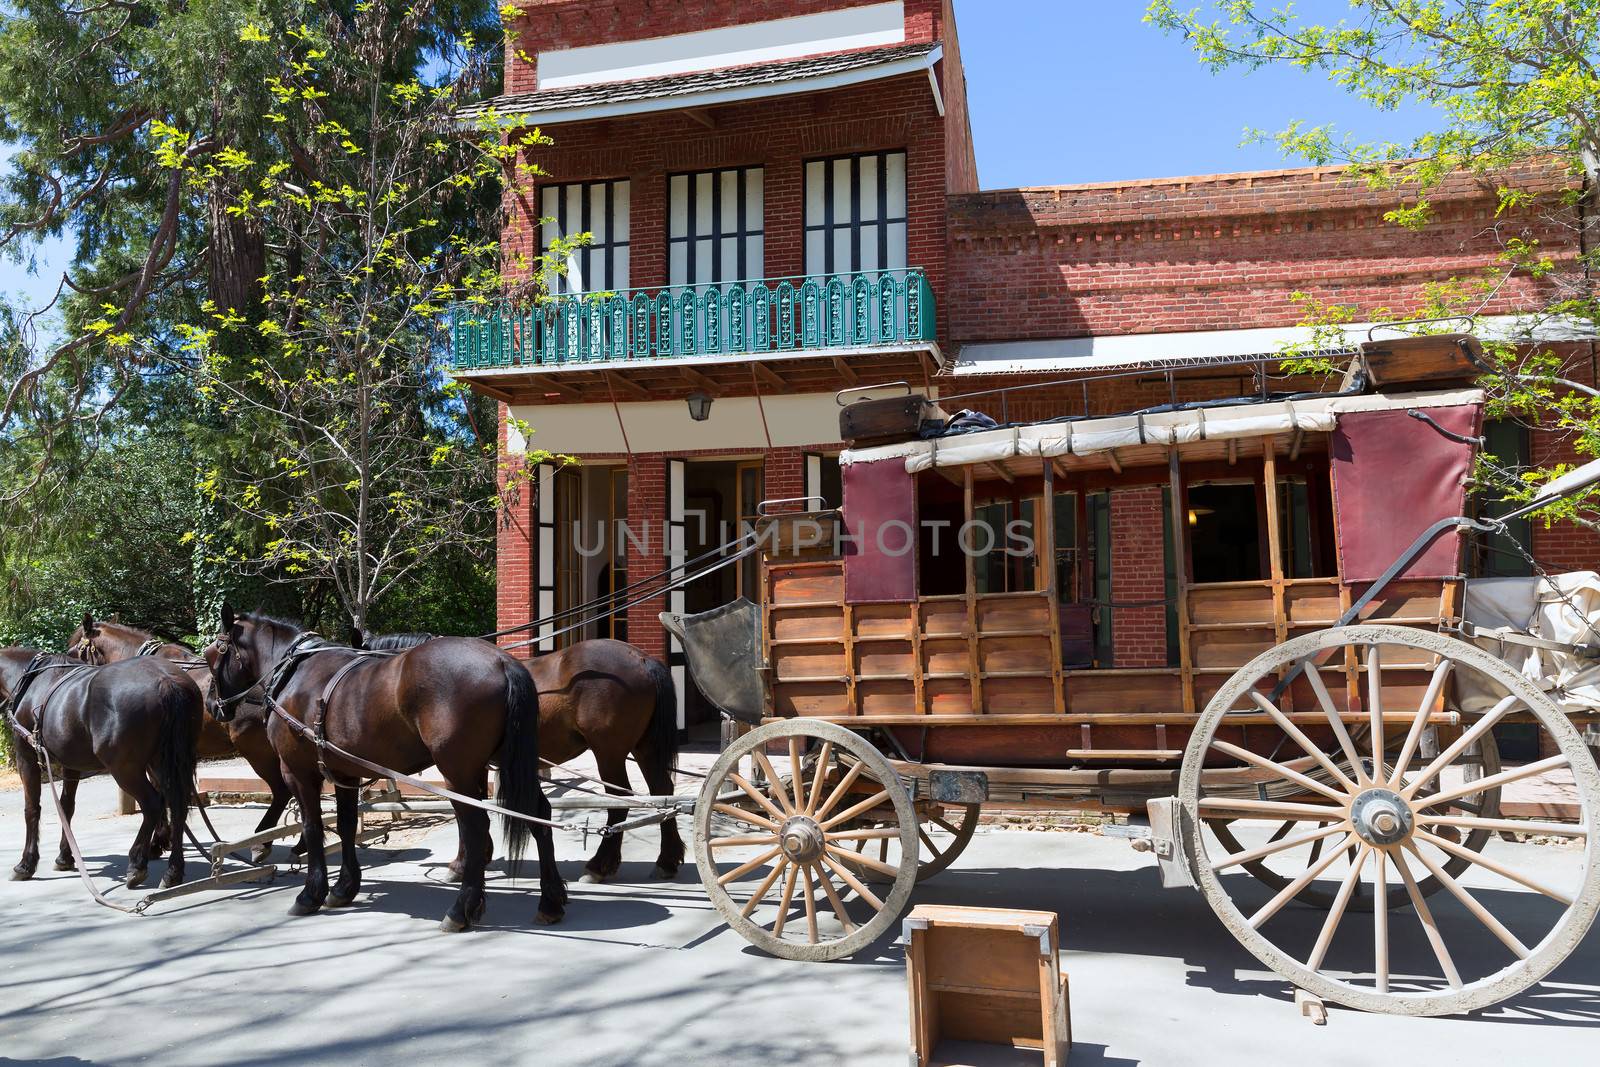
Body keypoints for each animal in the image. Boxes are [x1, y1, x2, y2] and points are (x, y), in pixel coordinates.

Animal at [1, 652, 201, 895]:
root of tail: (166, 681)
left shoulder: (26, 758)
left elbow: (32, 809)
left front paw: (25, 864)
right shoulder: (71, 764)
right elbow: (66, 808)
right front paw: (65, 857)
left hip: (125, 769)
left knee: (153, 804)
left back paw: (137, 864)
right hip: (166, 762)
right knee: (177, 806)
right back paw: (173, 871)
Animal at [66, 614, 302, 863]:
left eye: (72, 652)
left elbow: (161, 794)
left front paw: (157, 842)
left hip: (258, 752)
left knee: (282, 791)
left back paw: (262, 841)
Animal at [208, 607, 563, 934]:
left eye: (214, 653)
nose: (213, 705)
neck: (293, 673)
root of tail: (503, 662)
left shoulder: (299, 772)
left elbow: (312, 828)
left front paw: (311, 894)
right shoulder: (345, 774)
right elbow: (346, 826)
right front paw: (343, 888)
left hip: (458, 772)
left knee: (476, 829)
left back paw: (461, 909)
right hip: (506, 763)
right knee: (538, 816)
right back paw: (550, 901)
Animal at [363, 633, 681, 883]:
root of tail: (642, 659)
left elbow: (466, 810)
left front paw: (461, 864)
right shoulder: (474, 765)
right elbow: (477, 803)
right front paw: (481, 854)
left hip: (609, 753)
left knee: (621, 801)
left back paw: (599, 867)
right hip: (644, 748)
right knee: (663, 792)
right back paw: (666, 861)